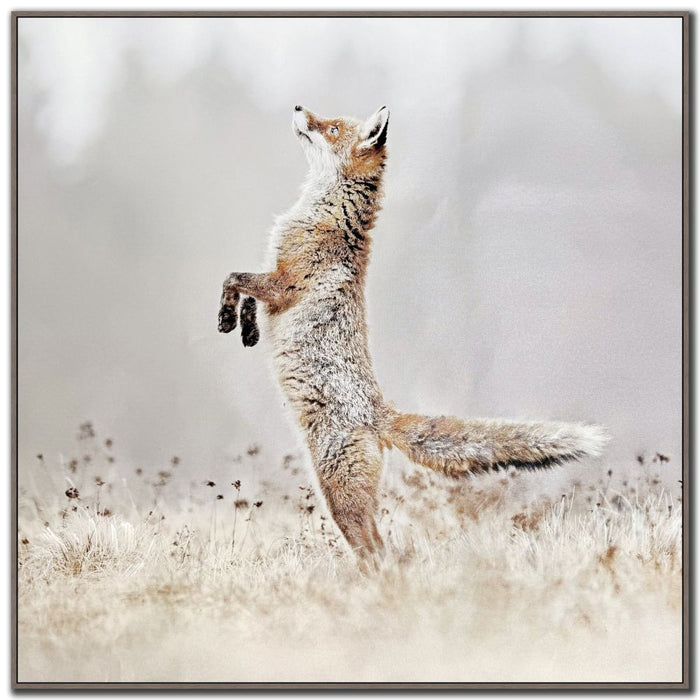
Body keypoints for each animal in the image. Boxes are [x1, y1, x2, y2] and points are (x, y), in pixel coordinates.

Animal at [218, 105, 607, 566]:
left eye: (331, 127)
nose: (298, 108)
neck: (323, 213)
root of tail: (378, 412)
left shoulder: (283, 284)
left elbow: (233, 278)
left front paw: (226, 317)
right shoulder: (273, 284)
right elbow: (246, 293)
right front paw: (246, 328)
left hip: (338, 493)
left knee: (376, 549)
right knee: (380, 547)